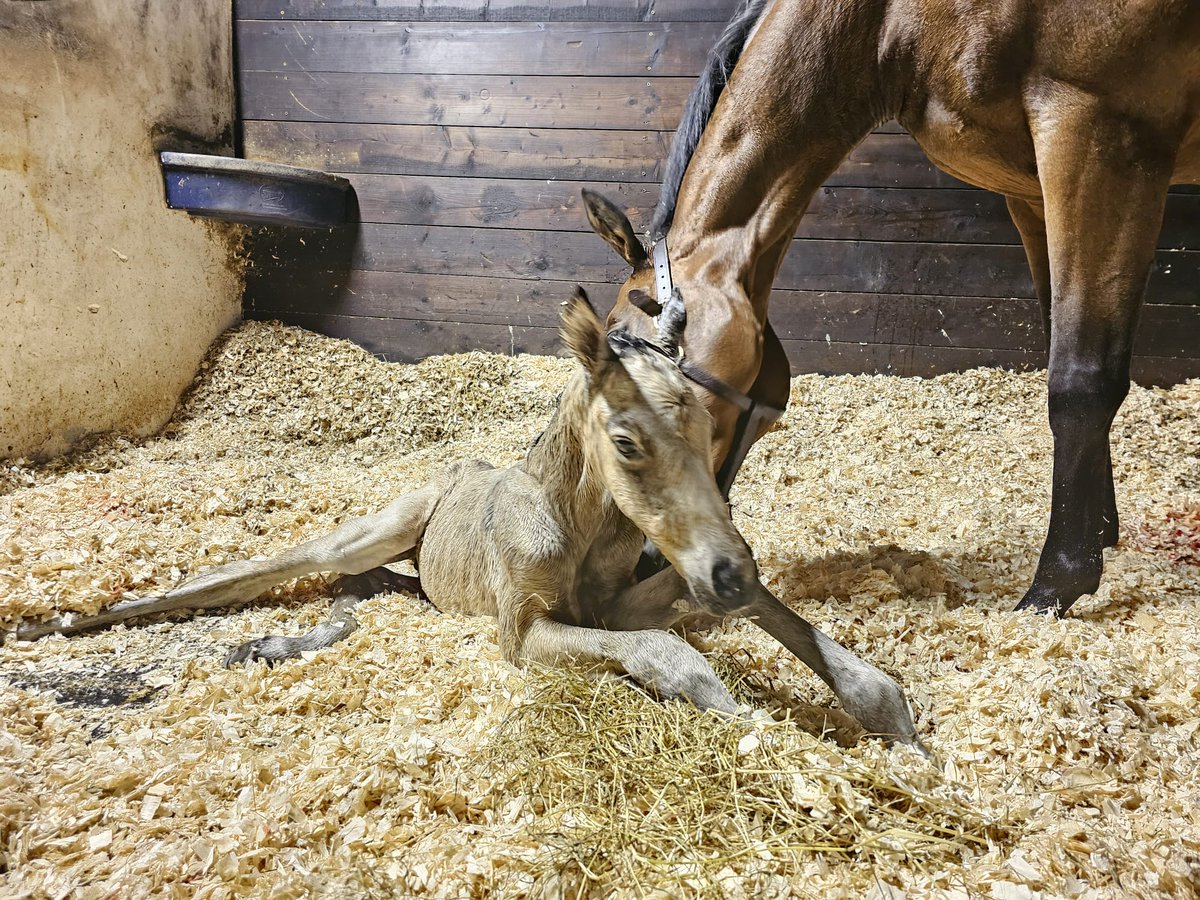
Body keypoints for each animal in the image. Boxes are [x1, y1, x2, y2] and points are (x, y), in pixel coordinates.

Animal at [7, 290, 923, 748]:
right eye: (627, 441)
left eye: (711, 429)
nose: (727, 570)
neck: (578, 527)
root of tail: (456, 473)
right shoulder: (523, 630)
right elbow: (668, 655)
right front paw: (738, 716)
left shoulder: (627, 596)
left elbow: (763, 619)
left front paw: (892, 720)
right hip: (377, 526)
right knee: (276, 567)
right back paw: (59, 623)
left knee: (376, 587)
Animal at [582, 0, 1200, 616]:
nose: (638, 559)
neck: (892, 23)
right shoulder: (1029, 191)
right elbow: (1063, 341)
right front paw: (1100, 529)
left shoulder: (1099, 134)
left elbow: (1081, 380)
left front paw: (1060, 580)